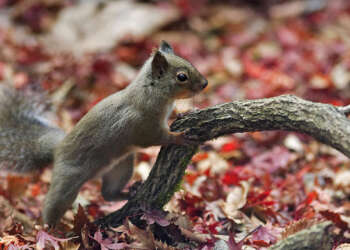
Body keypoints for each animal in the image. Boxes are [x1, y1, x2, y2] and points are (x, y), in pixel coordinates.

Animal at [0, 40, 208, 226]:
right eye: (182, 76)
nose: (205, 83)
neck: (150, 92)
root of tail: (57, 150)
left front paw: (184, 113)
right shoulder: (142, 125)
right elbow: (154, 138)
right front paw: (179, 137)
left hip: (120, 168)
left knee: (107, 193)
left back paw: (130, 191)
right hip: (67, 179)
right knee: (53, 204)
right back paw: (49, 230)